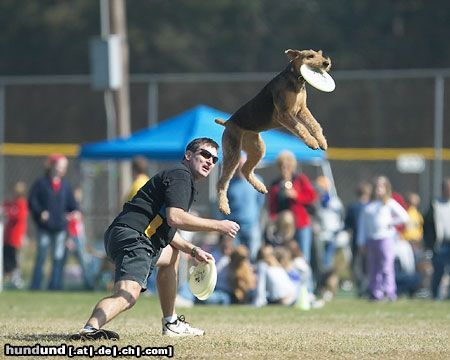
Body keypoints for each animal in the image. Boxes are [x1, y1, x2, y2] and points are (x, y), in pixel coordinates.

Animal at [216, 49, 332, 215]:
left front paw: (322, 142)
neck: (295, 79)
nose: (326, 63)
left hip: (257, 148)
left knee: (245, 169)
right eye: (310, 56)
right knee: (223, 181)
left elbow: (314, 124)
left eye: (319, 54)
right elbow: (301, 128)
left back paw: (260, 187)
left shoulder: (301, 110)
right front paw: (312, 142)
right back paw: (224, 207)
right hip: (233, 153)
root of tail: (227, 122)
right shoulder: (283, 114)